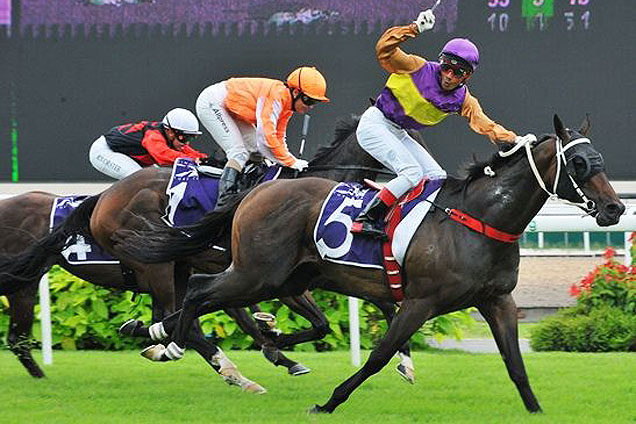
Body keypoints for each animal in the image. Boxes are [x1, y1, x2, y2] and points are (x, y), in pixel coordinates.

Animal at [113, 114, 620, 412]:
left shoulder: (497, 301)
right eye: (578, 164)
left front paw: (536, 410)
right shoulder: (420, 301)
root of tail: (256, 192)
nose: (615, 209)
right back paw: (178, 344)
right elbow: (378, 355)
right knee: (201, 291)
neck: (478, 219)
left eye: (599, 159)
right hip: (261, 272)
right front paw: (330, 402)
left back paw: (170, 335)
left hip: (284, 277)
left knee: (204, 293)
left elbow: (515, 363)